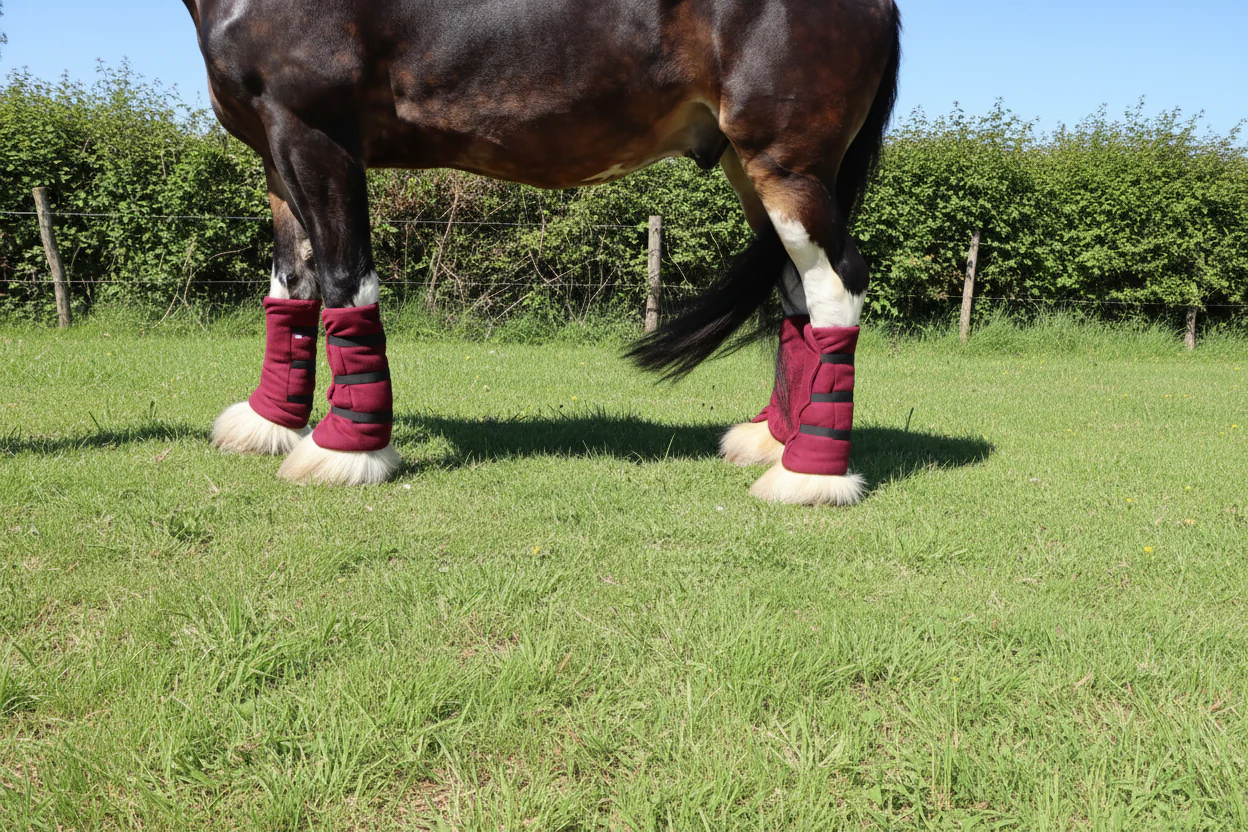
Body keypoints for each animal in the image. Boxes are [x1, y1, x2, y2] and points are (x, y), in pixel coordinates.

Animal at [181, 0, 901, 505]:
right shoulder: (276, 150)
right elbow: (292, 280)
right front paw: (268, 421)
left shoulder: (315, 134)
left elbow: (342, 278)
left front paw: (345, 450)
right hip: (755, 171)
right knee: (795, 290)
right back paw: (776, 440)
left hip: (788, 167)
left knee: (837, 283)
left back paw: (808, 475)